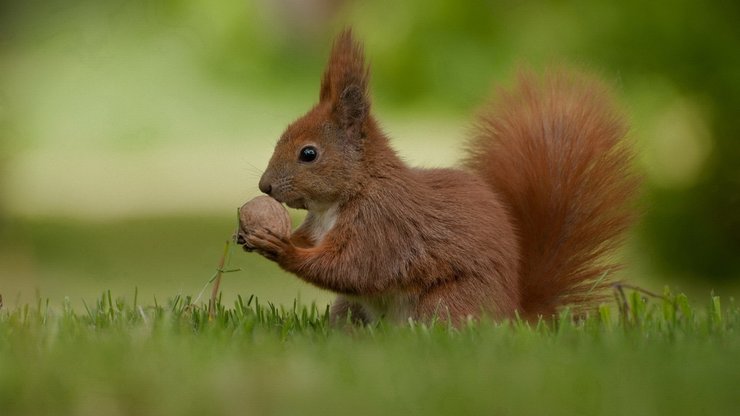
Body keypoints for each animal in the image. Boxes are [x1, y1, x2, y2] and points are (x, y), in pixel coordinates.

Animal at [241, 29, 636, 324]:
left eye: (309, 154)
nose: (265, 186)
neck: (341, 199)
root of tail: (514, 315)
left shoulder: (383, 226)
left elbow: (351, 268)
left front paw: (283, 249)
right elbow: (316, 246)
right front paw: (254, 236)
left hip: (446, 303)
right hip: (349, 310)